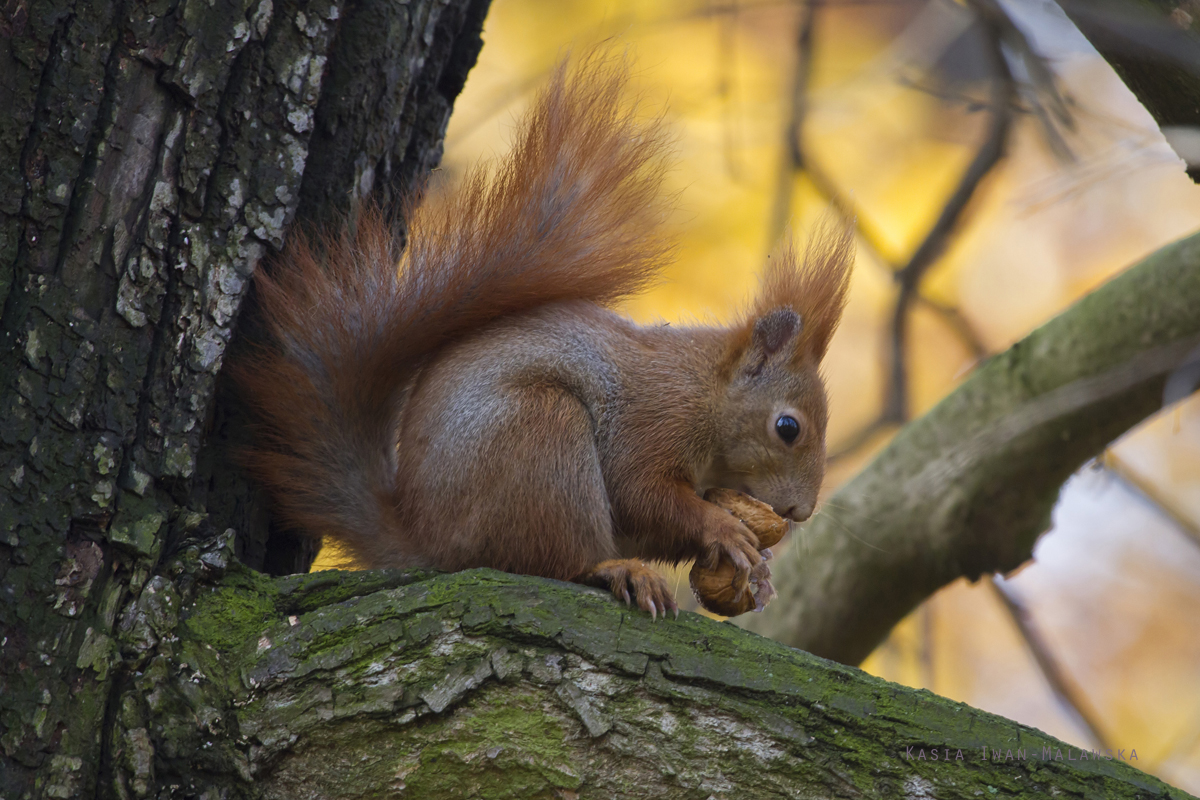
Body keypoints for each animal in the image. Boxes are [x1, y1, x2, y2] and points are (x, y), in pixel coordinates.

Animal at [236, 56, 854, 618]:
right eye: (788, 428)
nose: (800, 512)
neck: (704, 389)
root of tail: (427, 542)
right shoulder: (652, 419)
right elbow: (641, 494)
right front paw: (722, 528)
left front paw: (760, 573)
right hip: (541, 438)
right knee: (555, 561)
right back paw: (615, 568)